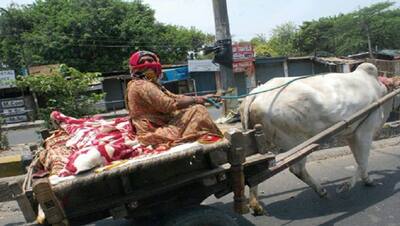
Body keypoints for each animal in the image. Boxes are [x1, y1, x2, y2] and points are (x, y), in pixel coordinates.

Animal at [239, 62, 398, 215]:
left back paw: (256, 206)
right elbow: (363, 162)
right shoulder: (364, 131)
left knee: (256, 173)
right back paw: (321, 191)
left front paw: (366, 180)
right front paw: (348, 186)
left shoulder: (351, 134)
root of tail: (255, 94)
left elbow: (360, 161)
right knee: (297, 169)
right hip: (297, 141)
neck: (379, 89)